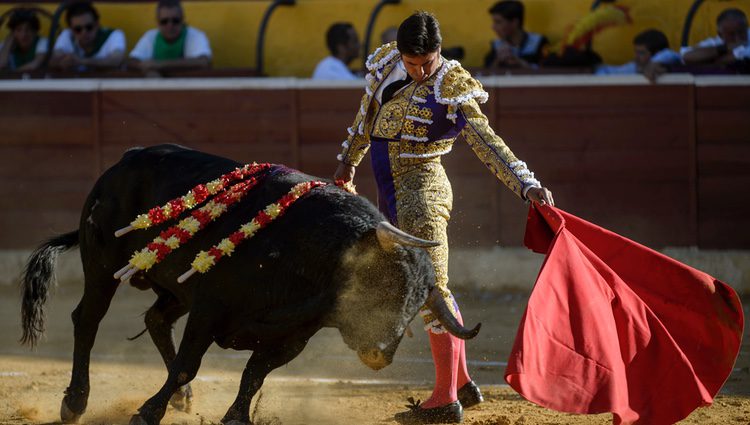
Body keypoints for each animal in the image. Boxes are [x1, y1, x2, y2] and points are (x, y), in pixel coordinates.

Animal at [22, 145, 482, 424]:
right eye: (388, 281)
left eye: (417, 302)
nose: (381, 354)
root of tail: (123, 161)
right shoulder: (209, 309)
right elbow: (190, 363)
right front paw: (146, 413)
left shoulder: (291, 338)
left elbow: (254, 375)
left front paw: (235, 416)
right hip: (102, 265)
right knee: (88, 320)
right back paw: (75, 402)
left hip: (173, 288)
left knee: (155, 320)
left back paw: (182, 399)